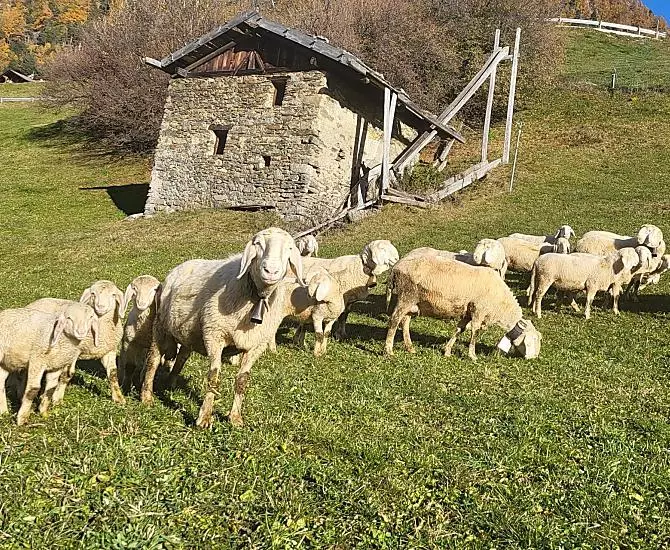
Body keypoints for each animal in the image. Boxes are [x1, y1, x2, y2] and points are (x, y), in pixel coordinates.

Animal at [141, 227, 306, 429]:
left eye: (289, 248)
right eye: (258, 244)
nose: (271, 270)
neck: (256, 295)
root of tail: (177, 268)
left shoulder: (257, 345)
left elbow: (242, 380)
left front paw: (235, 418)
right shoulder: (214, 334)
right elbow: (213, 377)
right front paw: (204, 418)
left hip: (188, 333)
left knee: (181, 357)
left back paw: (171, 384)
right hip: (161, 326)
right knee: (153, 360)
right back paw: (146, 396)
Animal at [385, 256, 542, 360]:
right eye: (533, 340)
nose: (533, 358)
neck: (500, 305)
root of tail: (396, 267)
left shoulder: (468, 312)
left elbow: (459, 329)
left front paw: (447, 351)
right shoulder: (479, 310)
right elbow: (474, 332)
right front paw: (472, 355)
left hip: (412, 303)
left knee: (404, 322)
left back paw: (410, 348)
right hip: (406, 297)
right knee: (394, 321)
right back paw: (388, 350)